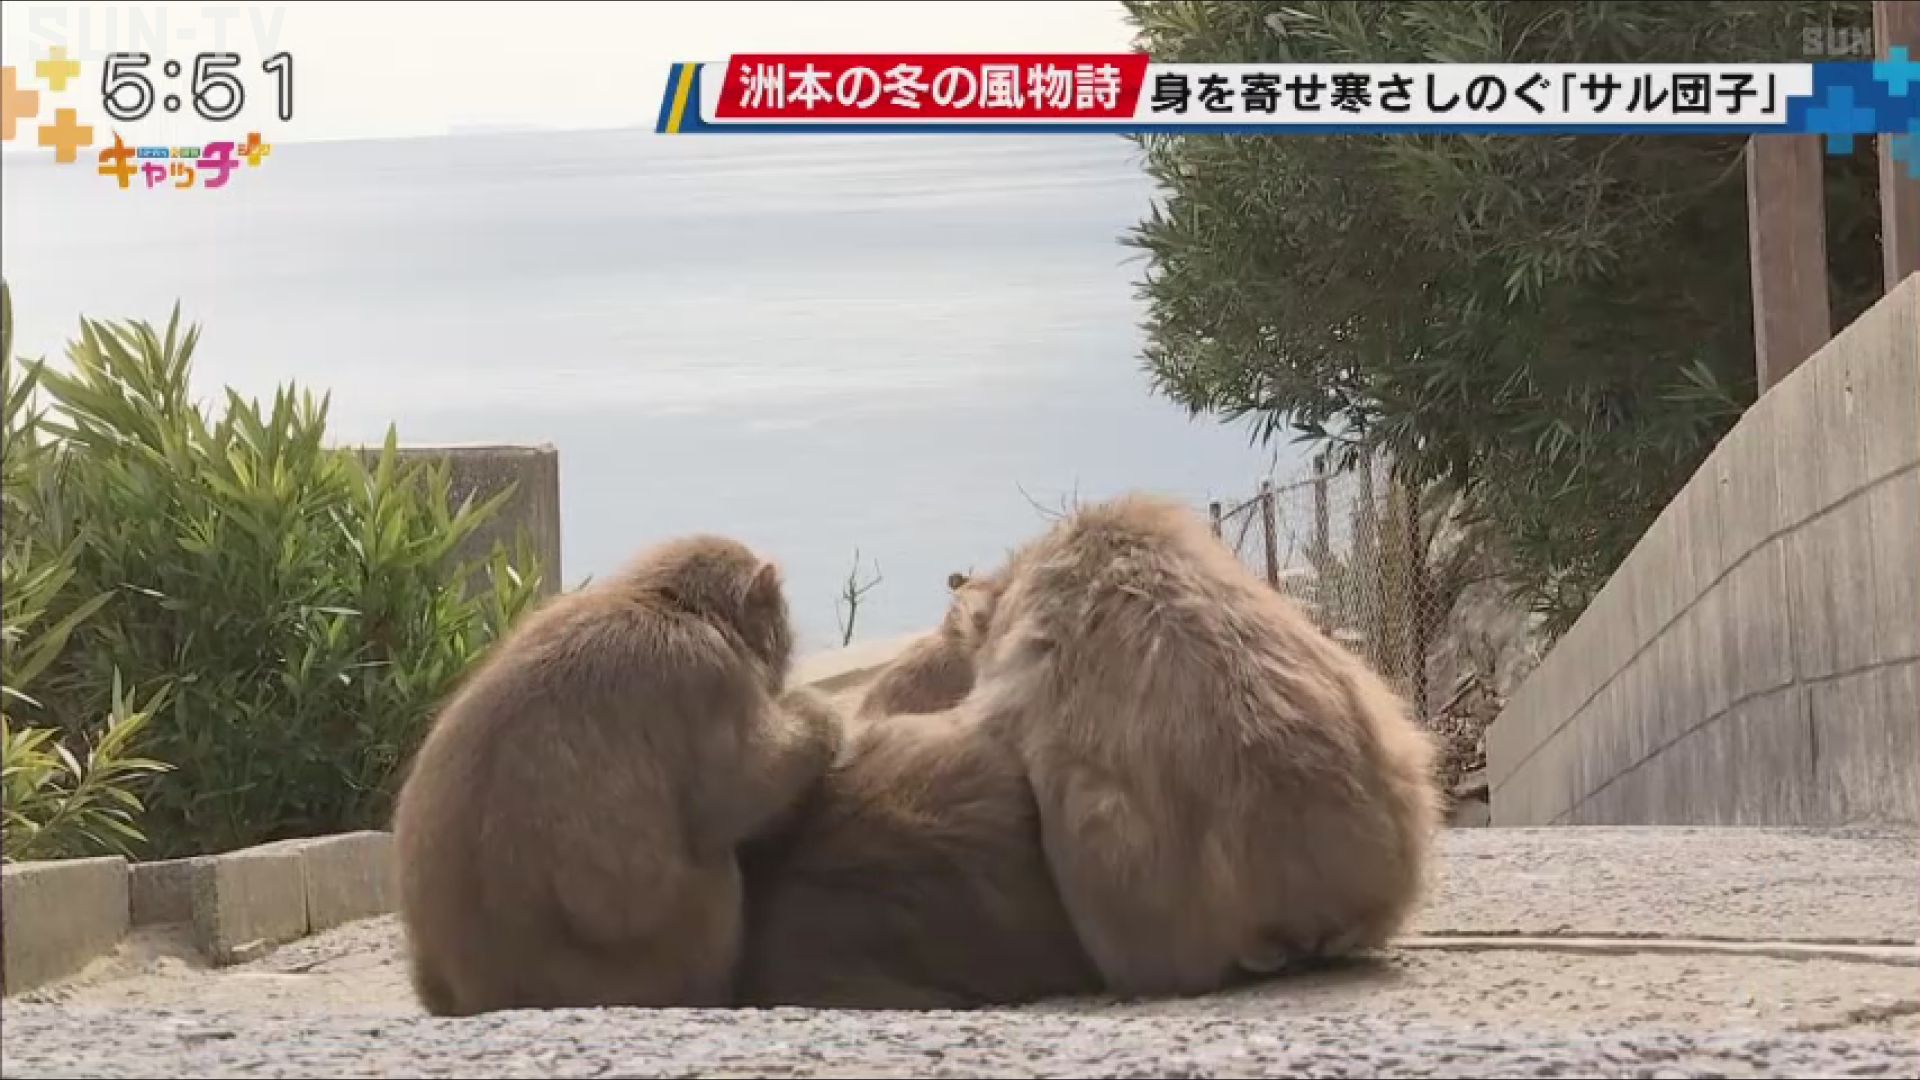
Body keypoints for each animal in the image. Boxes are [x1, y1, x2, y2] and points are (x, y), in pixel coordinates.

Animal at [390, 535, 845, 1017]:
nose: (788, 642)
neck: (668, 602)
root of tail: (488, 993)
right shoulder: (709, 675)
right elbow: (740, 793)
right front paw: (818, 713)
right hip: (645, 963)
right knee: (713, 869)